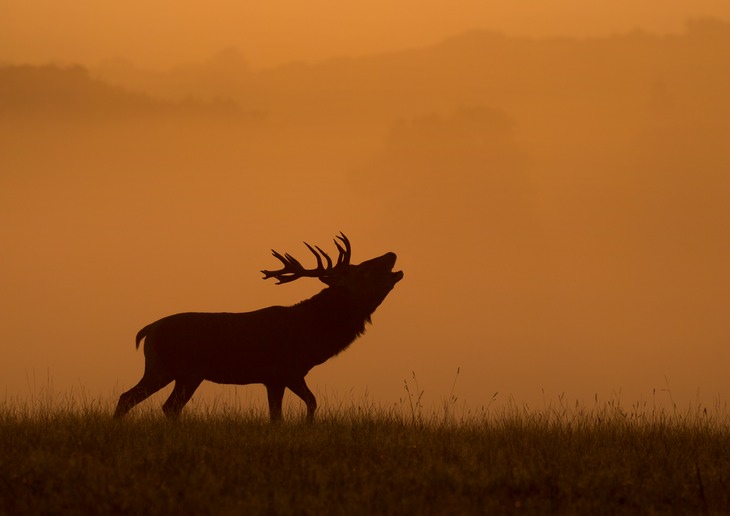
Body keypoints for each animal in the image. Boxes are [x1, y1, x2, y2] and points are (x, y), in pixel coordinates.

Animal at [112, 234, 404, 424]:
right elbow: (307, 404)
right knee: (164, 406)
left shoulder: (275, 378)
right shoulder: (287, 370)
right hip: (183, 371)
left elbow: (282, 415)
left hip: (166, 370)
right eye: (363, 270)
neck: (313, 333)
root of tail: (149, 330)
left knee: (134, 398)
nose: (391, 254)